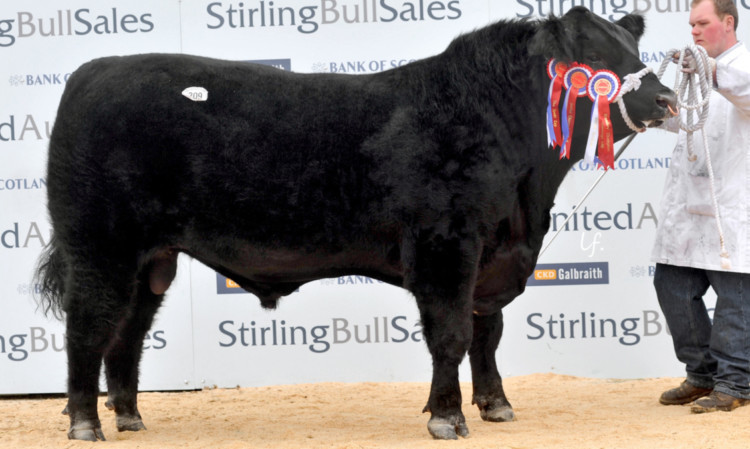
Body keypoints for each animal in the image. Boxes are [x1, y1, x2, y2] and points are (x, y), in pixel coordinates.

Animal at [38, 6, 680, 440]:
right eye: (598, 61)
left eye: (633, 51)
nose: (669, 101)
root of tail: (95, 70)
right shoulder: (448, 247)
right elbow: (452, 335)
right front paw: (447, 416)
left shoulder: (493, 258)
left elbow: (488, 335)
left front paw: (495, 405)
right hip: (99, 244)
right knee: (88, 328)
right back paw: (84, 423)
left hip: (152, 258)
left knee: (127, 333)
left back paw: (129, 416)